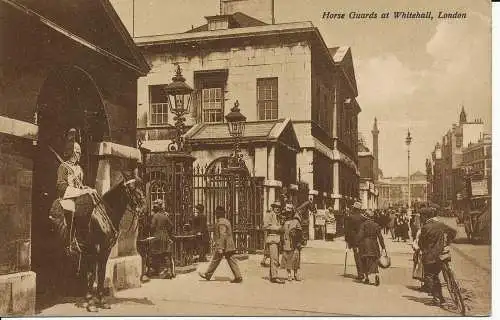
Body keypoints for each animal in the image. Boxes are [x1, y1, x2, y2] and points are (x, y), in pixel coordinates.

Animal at [49, 174, 145, 312]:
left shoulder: (105, 250)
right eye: (131, 188)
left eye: (141, 186)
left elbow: (101, 273)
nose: (143, 207)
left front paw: (101, 300)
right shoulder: (93, 250)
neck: (105, 214)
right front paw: (90, 302)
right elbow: (92, 274)